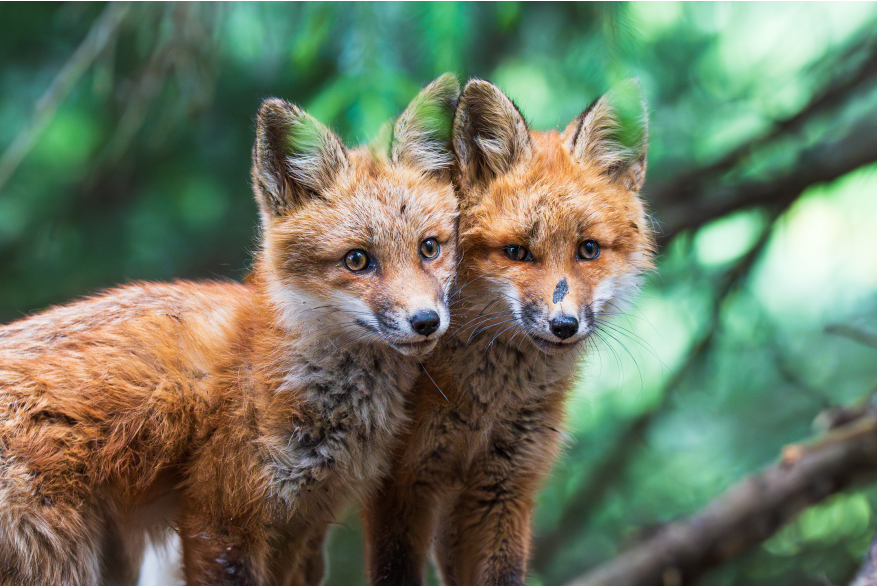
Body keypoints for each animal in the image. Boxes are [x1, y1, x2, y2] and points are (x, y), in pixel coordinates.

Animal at [0, 74, 460, 585]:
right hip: (64, 562)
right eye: (357, 260)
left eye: (429, 248)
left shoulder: (299, 524)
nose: (426, 321)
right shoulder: (221, 518)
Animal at [362, 79, 654, 586]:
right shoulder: (401, 484)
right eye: (517, 252)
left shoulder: (504, 485)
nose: (563, 325)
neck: (485, 405)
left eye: (588, 250)